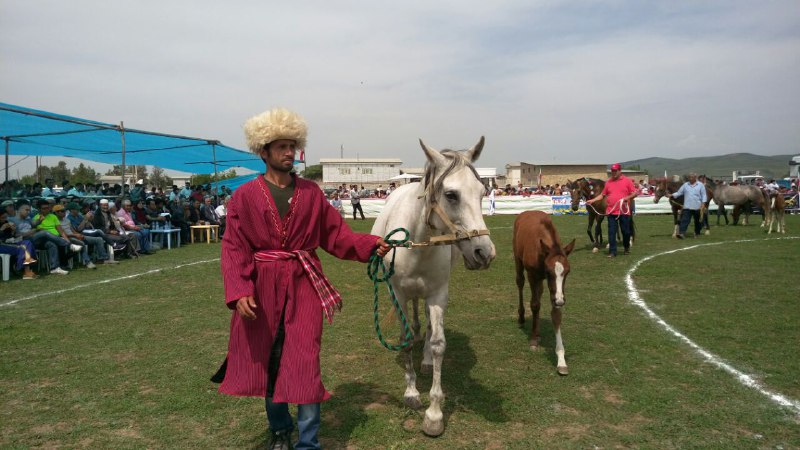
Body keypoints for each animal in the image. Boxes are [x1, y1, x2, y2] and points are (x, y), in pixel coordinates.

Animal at [372, 136, 496, 436]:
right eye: (451, 195)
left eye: (482, 193)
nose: (484, 253)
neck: (417, 242)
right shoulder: (398, 294)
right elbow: (405, 340)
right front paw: (411, 393)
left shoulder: (438, 294)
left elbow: (439, 343)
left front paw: (434, 413)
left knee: (427, 321)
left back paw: (426, 356)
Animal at [512, 213, 576, 374]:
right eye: (549, 271)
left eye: (567, 272)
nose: (560, 301)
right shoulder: (533, 275)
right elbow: (534, 304)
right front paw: (533, 340)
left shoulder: (555, 291)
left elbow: (556, 314)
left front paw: (561, 360)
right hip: (518, 259)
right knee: (520, 283)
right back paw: (522, 318)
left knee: (539, 292)